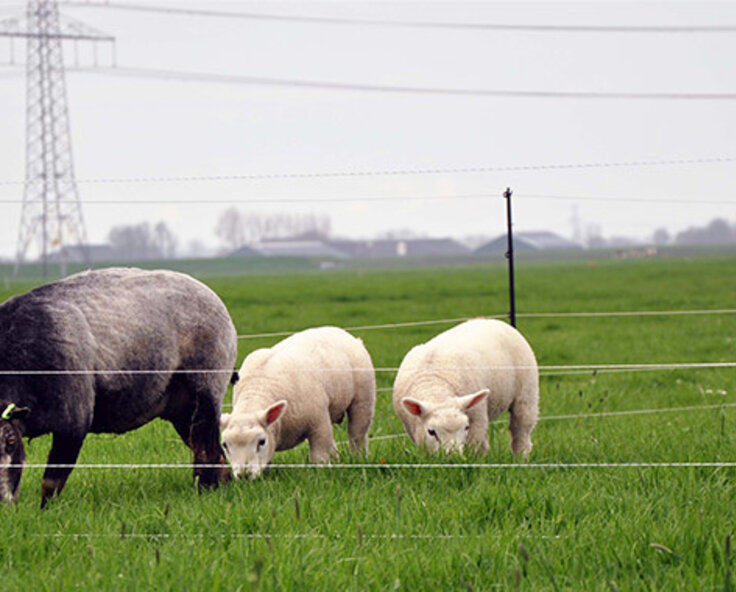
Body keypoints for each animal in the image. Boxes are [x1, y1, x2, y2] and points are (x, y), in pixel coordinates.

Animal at [220, 326, 376, 478]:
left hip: (363, 400)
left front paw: (321, 475)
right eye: (225, 445)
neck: (258, 389)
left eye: (261, 441)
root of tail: (340, 331)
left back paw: (358, 458)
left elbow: (319, 458)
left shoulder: (318, 424)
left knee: (357, 435)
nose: (244, 475)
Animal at [392, 320, 540, 458]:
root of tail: (494, 321)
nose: (453, 457)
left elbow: (475, 448)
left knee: (521, 432)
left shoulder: (477, 418)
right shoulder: (414, 430)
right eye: (431, 432)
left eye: (466, 427)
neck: (436, 388)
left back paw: (520, 458)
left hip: (526, 395)